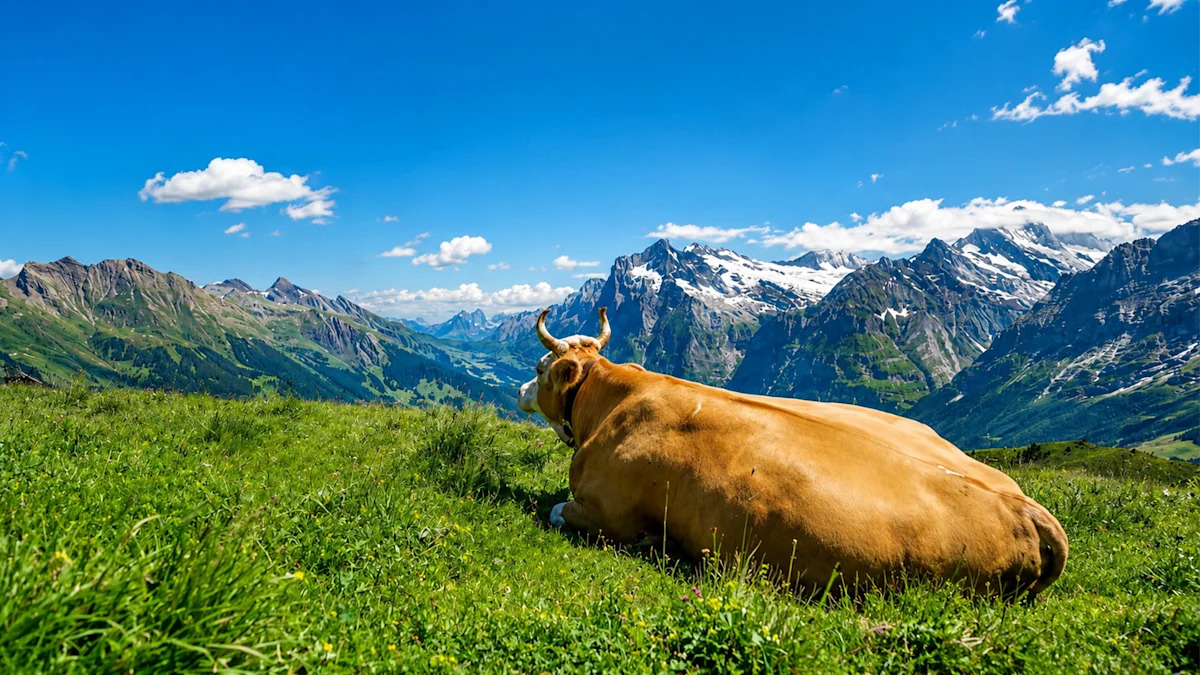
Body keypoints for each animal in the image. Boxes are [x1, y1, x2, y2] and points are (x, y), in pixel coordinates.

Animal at [517, 308, 1069, 599]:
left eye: (541, 368)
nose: (521, 391)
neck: (612, 402)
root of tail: (1027, 510)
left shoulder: (607, 512)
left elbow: (555, 511)